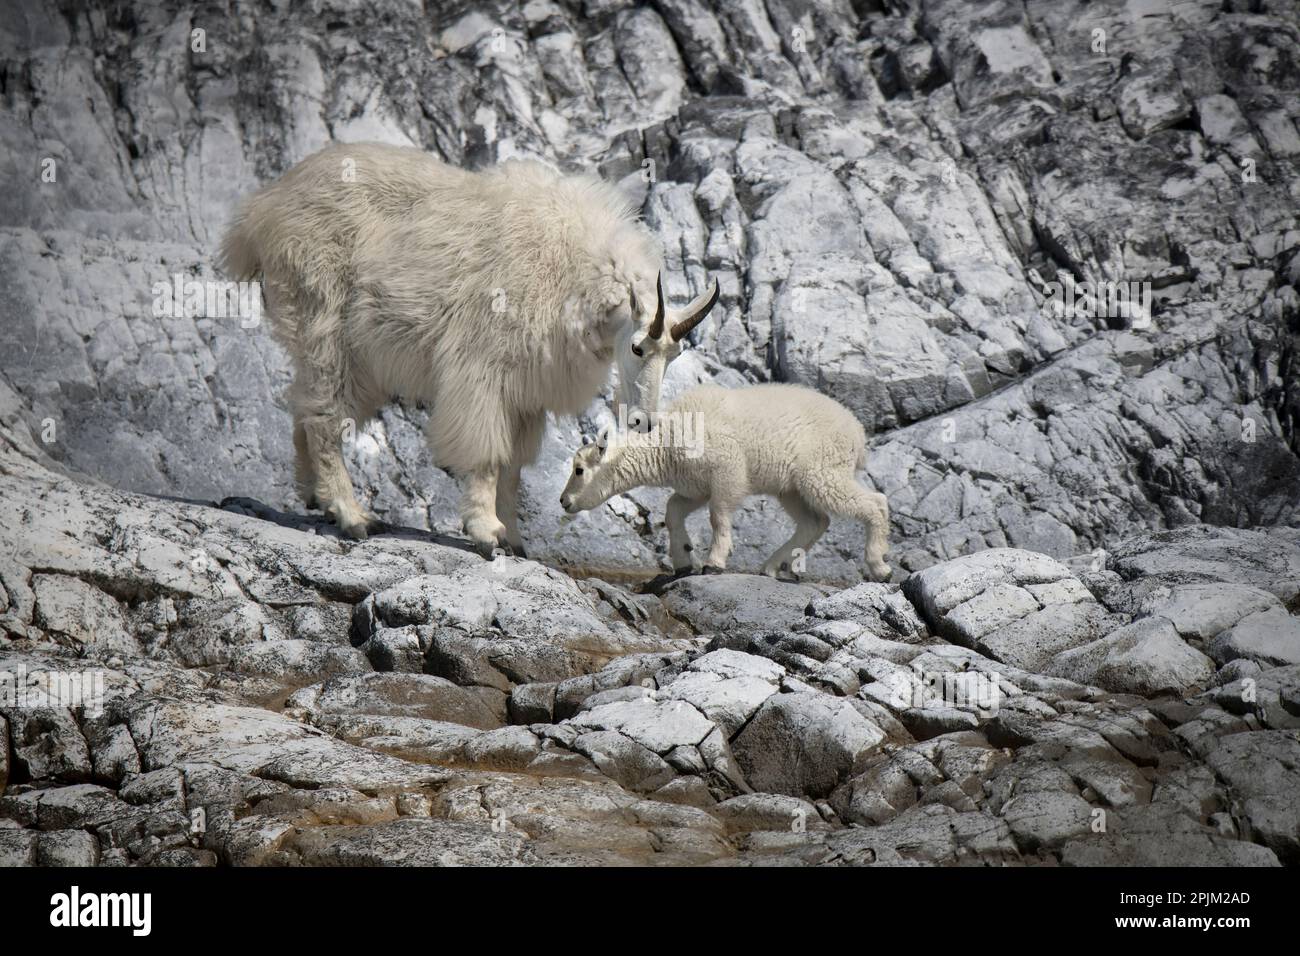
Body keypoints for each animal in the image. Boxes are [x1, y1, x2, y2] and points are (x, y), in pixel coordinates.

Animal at [221, 142, 718, 555]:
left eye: (673, 356)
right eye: (636, 348)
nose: (644, 421)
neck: (574, 269)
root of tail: (260, 214)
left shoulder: (527, 394)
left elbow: (514, 469)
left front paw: (515, 539)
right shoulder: (482, 371)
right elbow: (487, 457)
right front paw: (487, 533)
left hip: (359, 357)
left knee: (307, 408)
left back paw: (314, 496)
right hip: (322, 323)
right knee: (324, 418)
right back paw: (353, 516)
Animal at [559, 383, 892, 581]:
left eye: (579, 469)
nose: (564, 501)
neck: (666, 443)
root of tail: (857, 432)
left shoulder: (726, 468)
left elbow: (719, 515)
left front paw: (714, 562)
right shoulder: (694, 484)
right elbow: (674, 508)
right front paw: (683, 558)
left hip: (823, 467)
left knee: (872, 502)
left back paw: (880, 566)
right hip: (793, 485)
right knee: (815, 521)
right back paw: (773, 566)